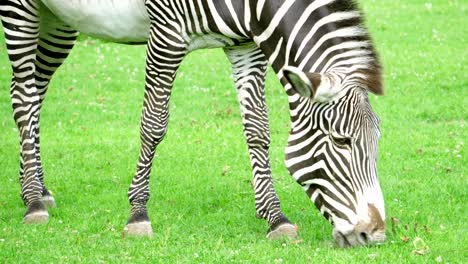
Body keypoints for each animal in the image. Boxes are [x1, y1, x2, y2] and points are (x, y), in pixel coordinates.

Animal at [0, 0, 384, 248]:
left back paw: (37, 189)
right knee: (23, 97)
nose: (375, 235)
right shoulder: (167, 34)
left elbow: (257, 129)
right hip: (21, 10)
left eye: (377, 142)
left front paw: (275, 217)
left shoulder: (245, 45)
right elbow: (153, 125)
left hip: (58, 18)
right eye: (341, 141)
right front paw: (138, 214)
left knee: (34, 92)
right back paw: (33, 201)